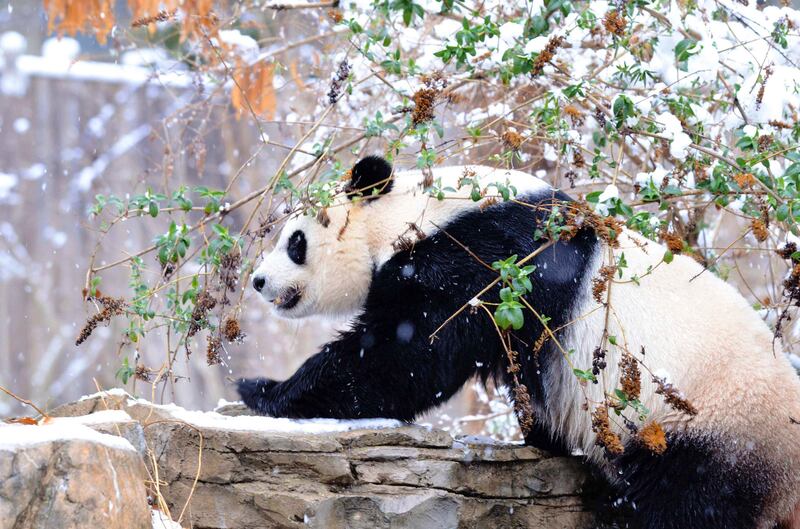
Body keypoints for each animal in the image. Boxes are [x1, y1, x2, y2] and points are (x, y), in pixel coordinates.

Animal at [241, 156, 800, 528]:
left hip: (708, 431)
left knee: (679, 504)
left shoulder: (486, 263)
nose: (259, 282)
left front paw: (263, 390)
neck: (410, 213)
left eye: (295, 242)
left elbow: (407, 355)